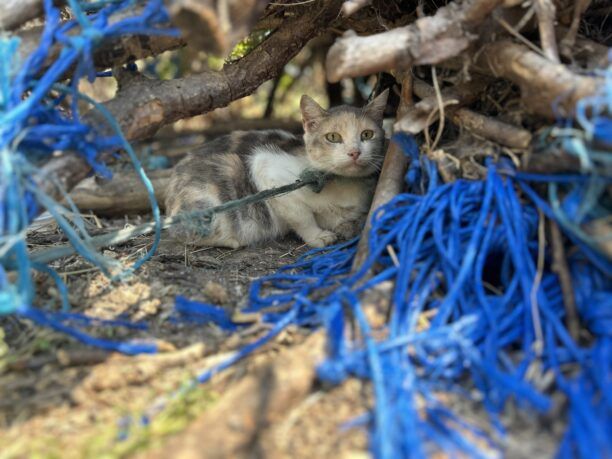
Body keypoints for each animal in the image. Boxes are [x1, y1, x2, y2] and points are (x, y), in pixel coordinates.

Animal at [165, 89, 390, 248]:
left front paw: (346, 225)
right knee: (182, 232)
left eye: (367, 135)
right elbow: (301, 215)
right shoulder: (266, 167)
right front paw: (317, 236)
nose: (354, 152)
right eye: (333, 137)